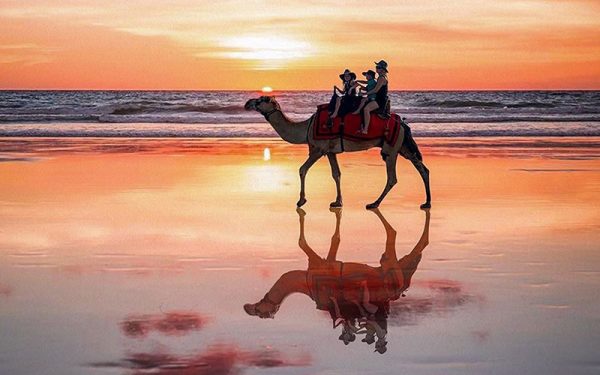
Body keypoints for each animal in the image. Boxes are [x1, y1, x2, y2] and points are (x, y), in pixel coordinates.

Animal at [241, 209, 428, 352]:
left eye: (259, 312)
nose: (246, 307)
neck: (305, 284)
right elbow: (331, 239)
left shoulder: (321, 262)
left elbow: (307, 241)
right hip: (391, 268)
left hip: (390, 267)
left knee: (395, 235)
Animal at [244, 95, 432, 210]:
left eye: (262, 99)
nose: (248, 103)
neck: (307, 127)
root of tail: (403, 124)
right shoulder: (330, 151)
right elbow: (336, 174)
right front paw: (337, 201)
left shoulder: (319, 149)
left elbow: (302, 169)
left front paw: (301, 200)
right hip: (403, 147)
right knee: (423, 169)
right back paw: (426, 203)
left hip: (391, 149)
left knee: (392, 178)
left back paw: (374, 203)